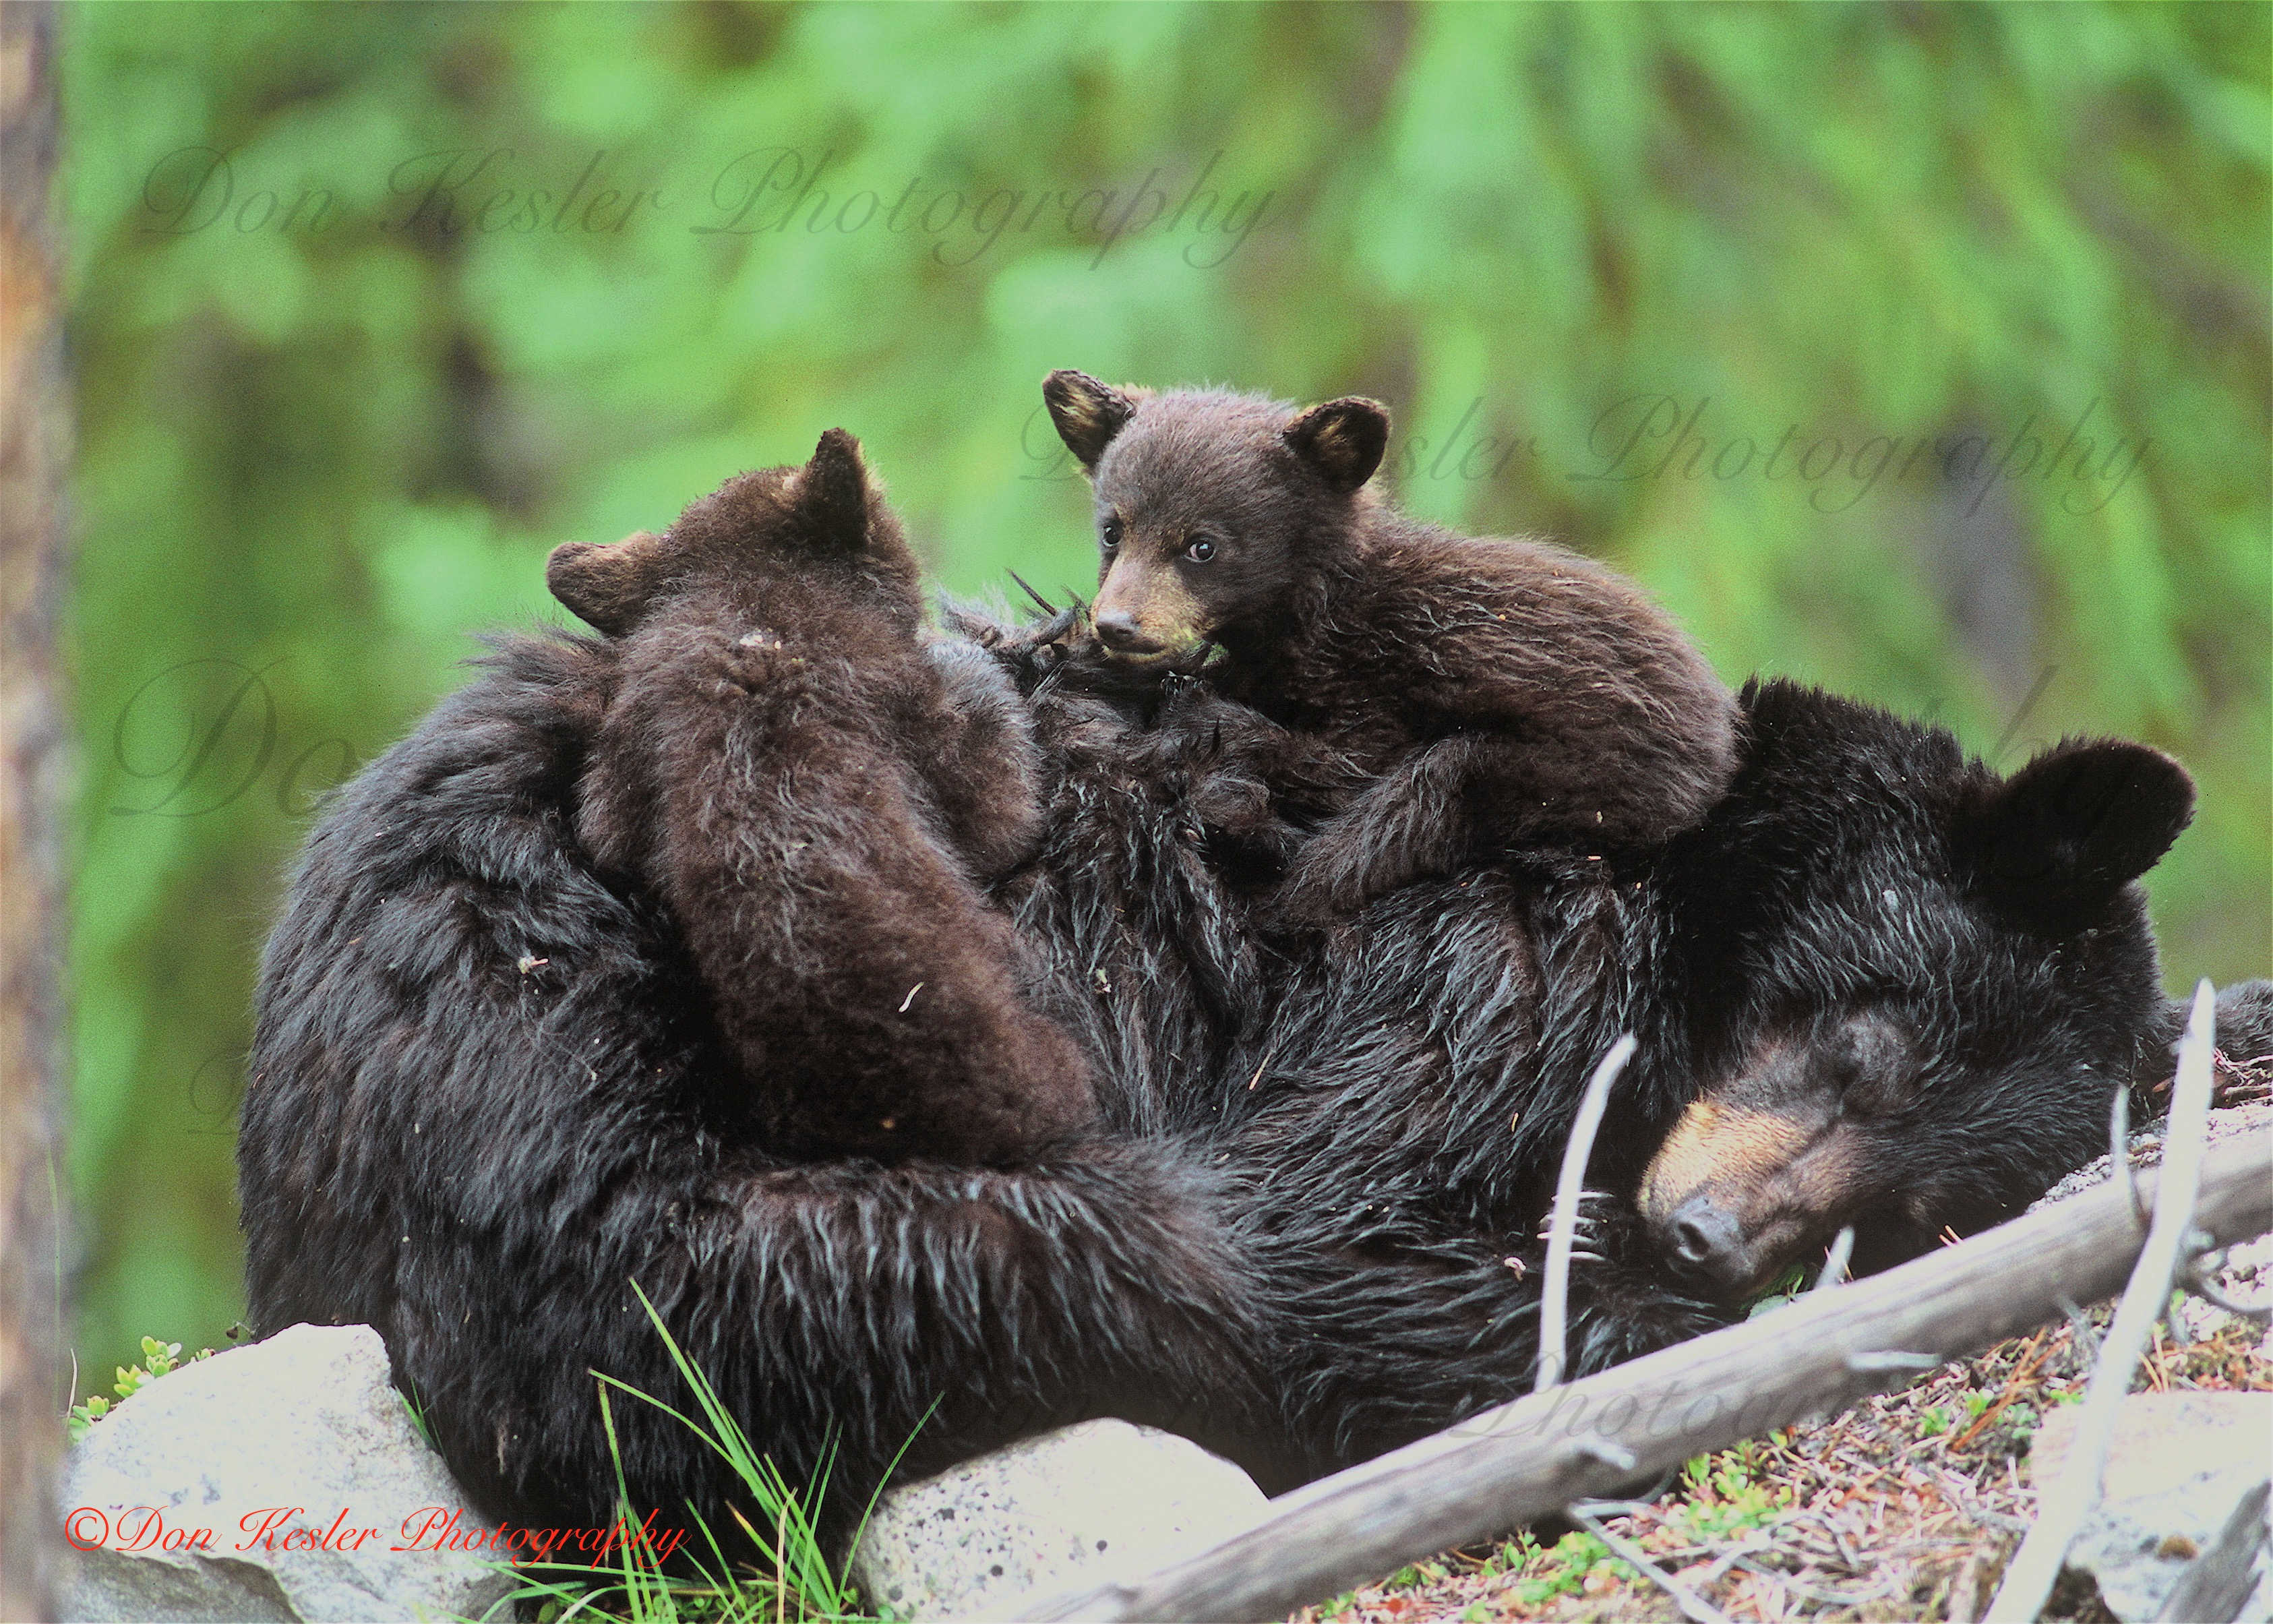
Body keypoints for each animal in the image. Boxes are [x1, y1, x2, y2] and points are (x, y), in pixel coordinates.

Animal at [545, 429, 1094, 1164]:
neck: (751, 612)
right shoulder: (909, 713)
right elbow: (997, 807)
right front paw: (980, 660)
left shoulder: (628, 754)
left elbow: (607, 828)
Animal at [1039, 371, 1740, 923]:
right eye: (1113, 531)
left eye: (1202, 545)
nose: (1116, 625)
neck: (1323, 608)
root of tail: (1719, 739)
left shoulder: (1377, 676)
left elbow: (1349, 761)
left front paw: (1202, 719)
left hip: (1565, 770)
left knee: (1414, 807)